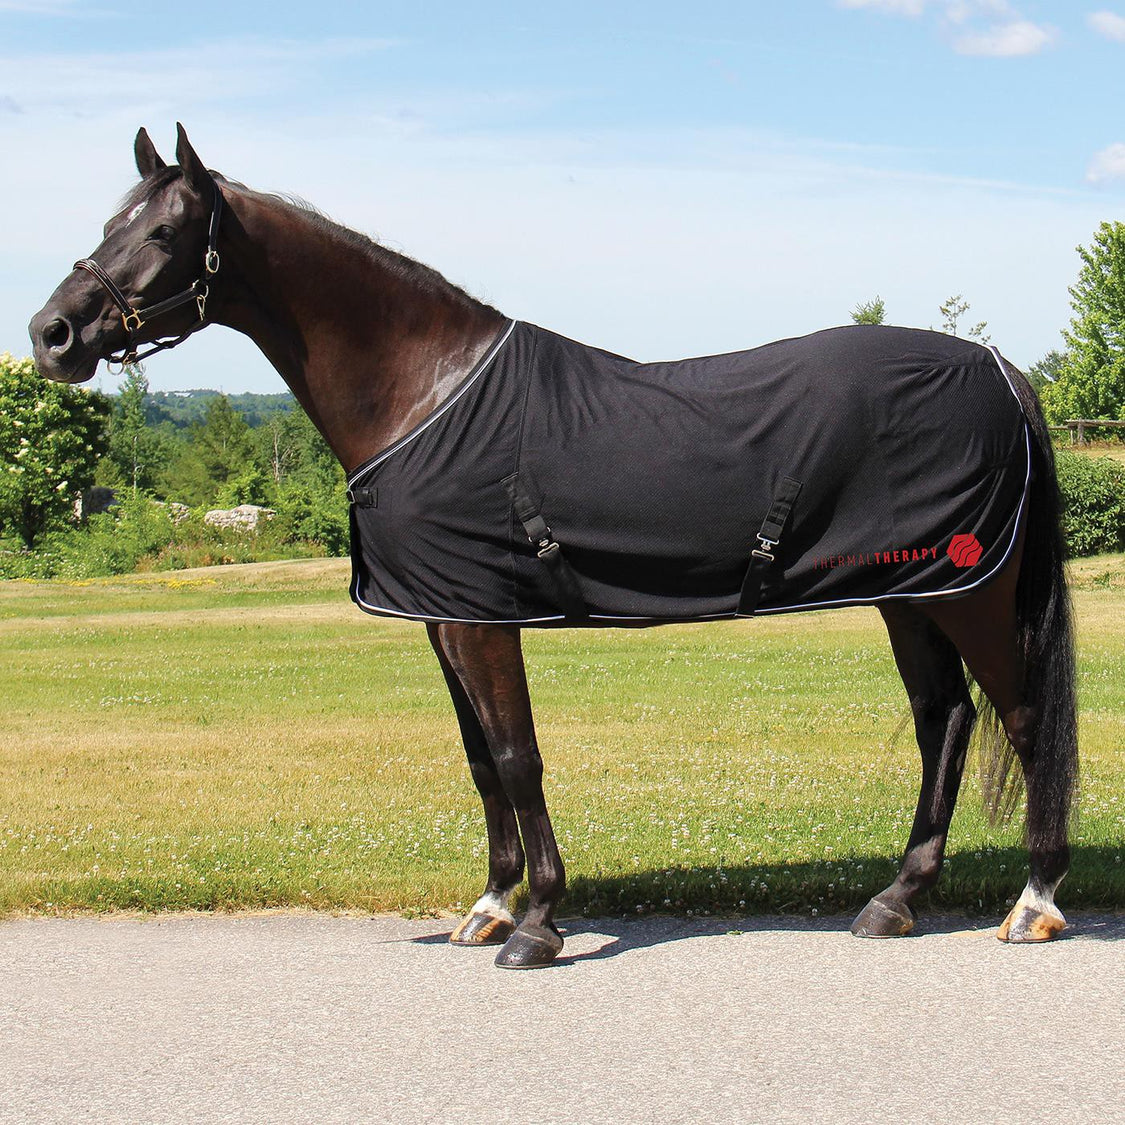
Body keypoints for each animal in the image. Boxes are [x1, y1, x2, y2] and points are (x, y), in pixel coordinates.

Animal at [29, 125, 1078, 969]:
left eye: (162, 232)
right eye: (114, 222)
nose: (52, 334)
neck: (426, 392)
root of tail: (998, 367)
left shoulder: (484, 618)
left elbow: (517, 753)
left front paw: (535, 923)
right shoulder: (444, 615)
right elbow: (478, 760)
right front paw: (488, 906)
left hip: (968, 594)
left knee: (1023, 719)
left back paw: (1033, 903)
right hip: (912, 595)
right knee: (944, 720)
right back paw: (895, 900)